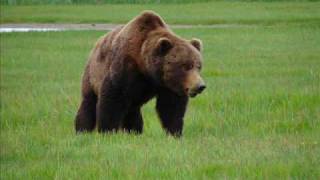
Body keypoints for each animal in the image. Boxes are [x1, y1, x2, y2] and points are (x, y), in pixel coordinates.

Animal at [74, 10, 205, 136]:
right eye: (185, 66)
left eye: (198, 66)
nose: (200, 86)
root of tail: (97, 43)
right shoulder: (125, 69)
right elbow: (112, 98)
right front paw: (107, 131)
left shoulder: (167, 85)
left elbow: (171, 107)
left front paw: (175, 133)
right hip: (92, 75)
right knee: (88, 103)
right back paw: (82, 130)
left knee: (133, 111)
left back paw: (134, 131)